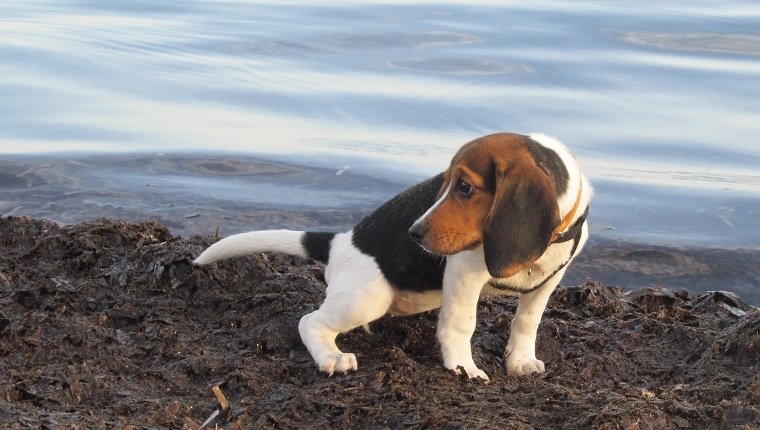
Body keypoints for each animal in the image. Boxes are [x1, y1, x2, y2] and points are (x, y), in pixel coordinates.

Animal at [193, 132, 592, 380]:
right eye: (444, 183)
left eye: (464, 187)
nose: (413, 233)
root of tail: (339, 242)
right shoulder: (464, 275)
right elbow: (461, 325)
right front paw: (463, 368)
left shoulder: (550, 281)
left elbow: (527, 322)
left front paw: (520, 362)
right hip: (368, 297)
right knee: (309, 322)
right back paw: (332, 357)